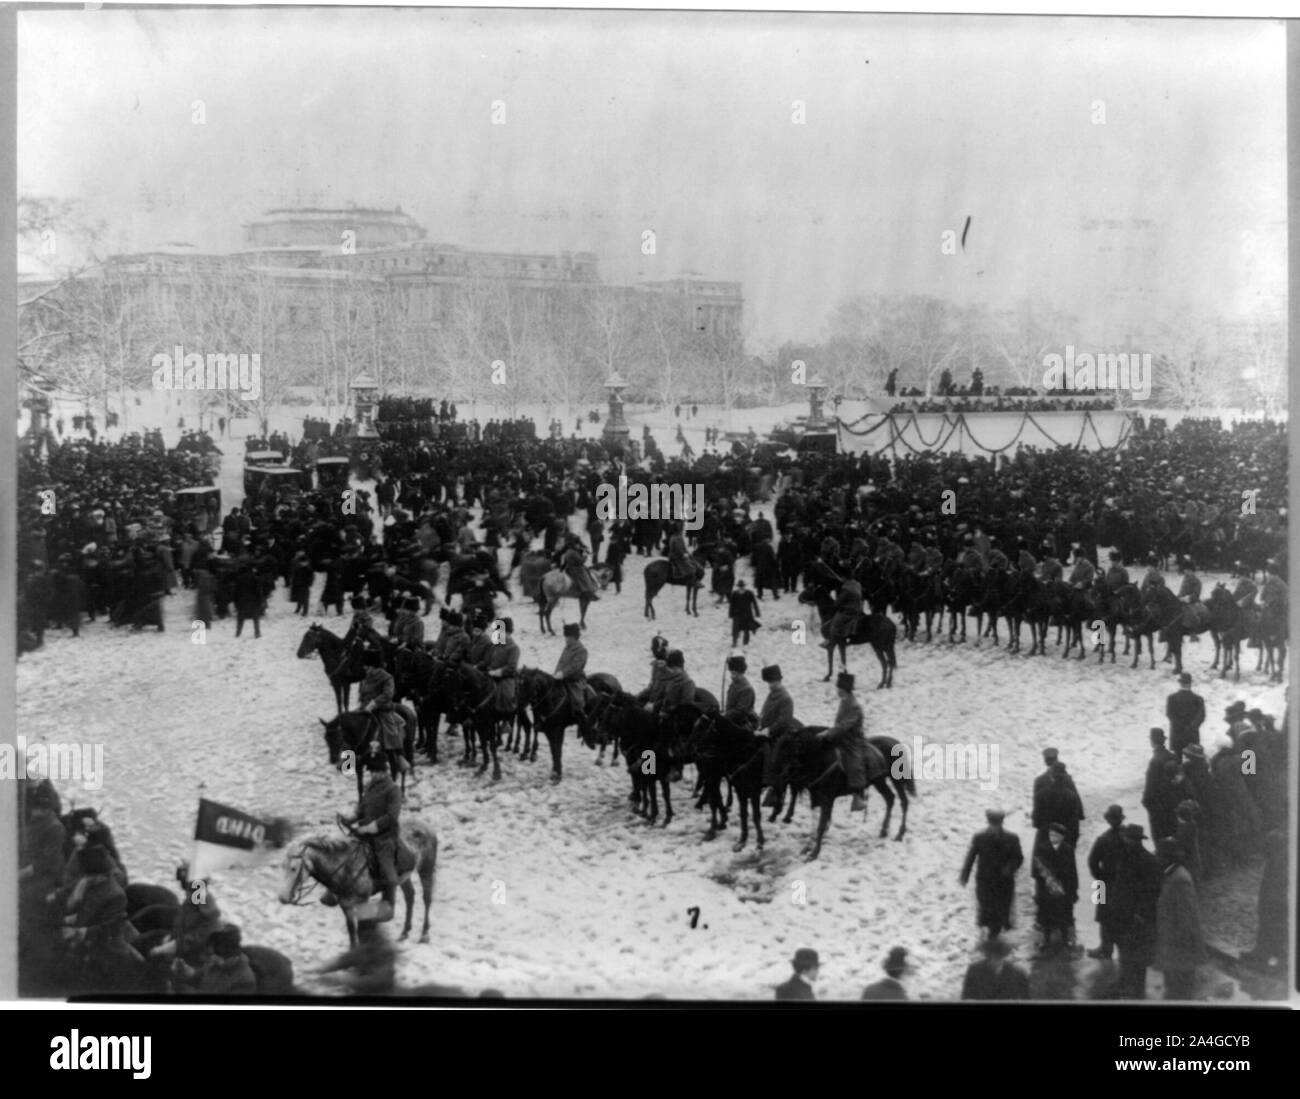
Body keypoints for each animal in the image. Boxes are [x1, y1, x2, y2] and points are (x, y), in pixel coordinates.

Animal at [276, 816, 439, 946]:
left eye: (293, 868)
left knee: (427, 898)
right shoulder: (345, 905)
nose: (282, 897)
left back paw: (424, 934)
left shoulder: (362, 902)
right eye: (282, 866)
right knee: (410, 896)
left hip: (426, 868)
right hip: (405, 876)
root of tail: (426, 826)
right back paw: (405, 932)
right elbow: (352, 933)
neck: (346, 866)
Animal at [769, 728, 915, 858]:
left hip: (896, 780)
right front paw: (808, 848)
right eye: (778, 748)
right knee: (890, 798)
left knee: (904, 802)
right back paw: (884, 831)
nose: (776, 773)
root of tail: (895, 742)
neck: (822, 760)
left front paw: (814, 853)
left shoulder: (826, 799)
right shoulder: (816, 798)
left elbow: (821, 825)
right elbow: (817, 822)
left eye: (788, 751)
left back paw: (900, 834)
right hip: (879, 782)